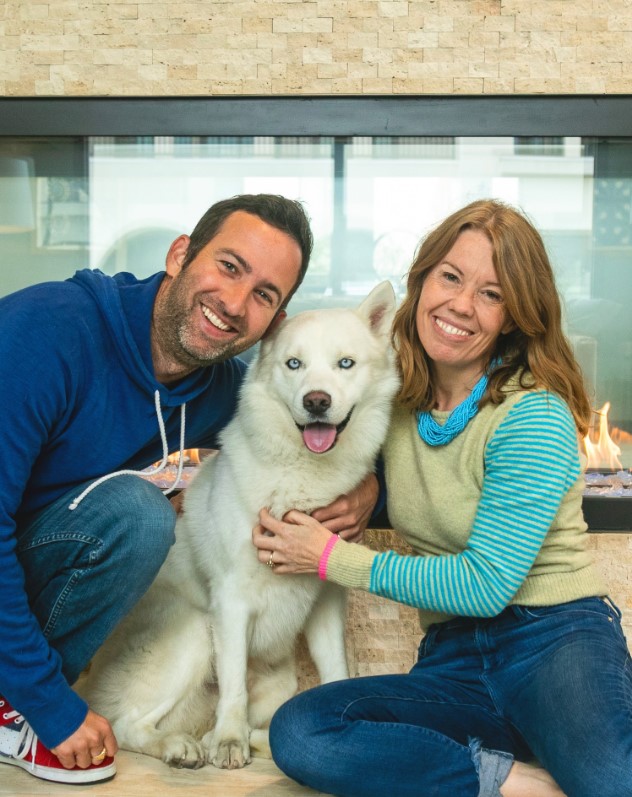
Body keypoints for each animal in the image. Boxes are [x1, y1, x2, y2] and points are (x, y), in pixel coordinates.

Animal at [76, 282, 398, 772]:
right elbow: (233, 690)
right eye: (293, 364)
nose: (316, 402)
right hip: (196, 632)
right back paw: (183, 748)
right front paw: (229, 742)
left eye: (346, 363)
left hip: (277, 681)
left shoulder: (326, 605)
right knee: (126, 724)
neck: (298, 479)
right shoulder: (230, 602)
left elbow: (334, 673)